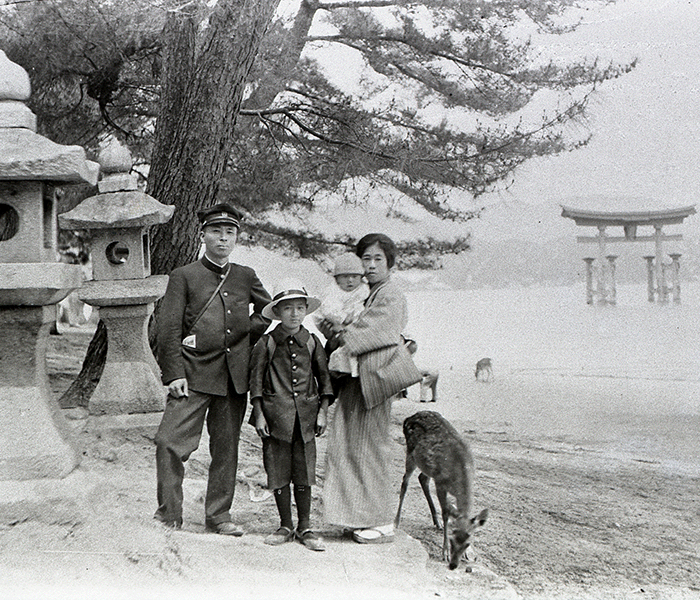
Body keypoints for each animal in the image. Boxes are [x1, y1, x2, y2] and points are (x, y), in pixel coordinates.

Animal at [394, 410, 486, 568]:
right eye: (452, 539)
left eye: (468, 543)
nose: (454, 564)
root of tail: (408, 418)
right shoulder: (441, 484)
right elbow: (446, 513)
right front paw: (445, 553)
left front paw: (469, 555)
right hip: (411, 453)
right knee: (405, 482)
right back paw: (396, 521)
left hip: (427, 466)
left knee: (422, 478)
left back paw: (437, 523)